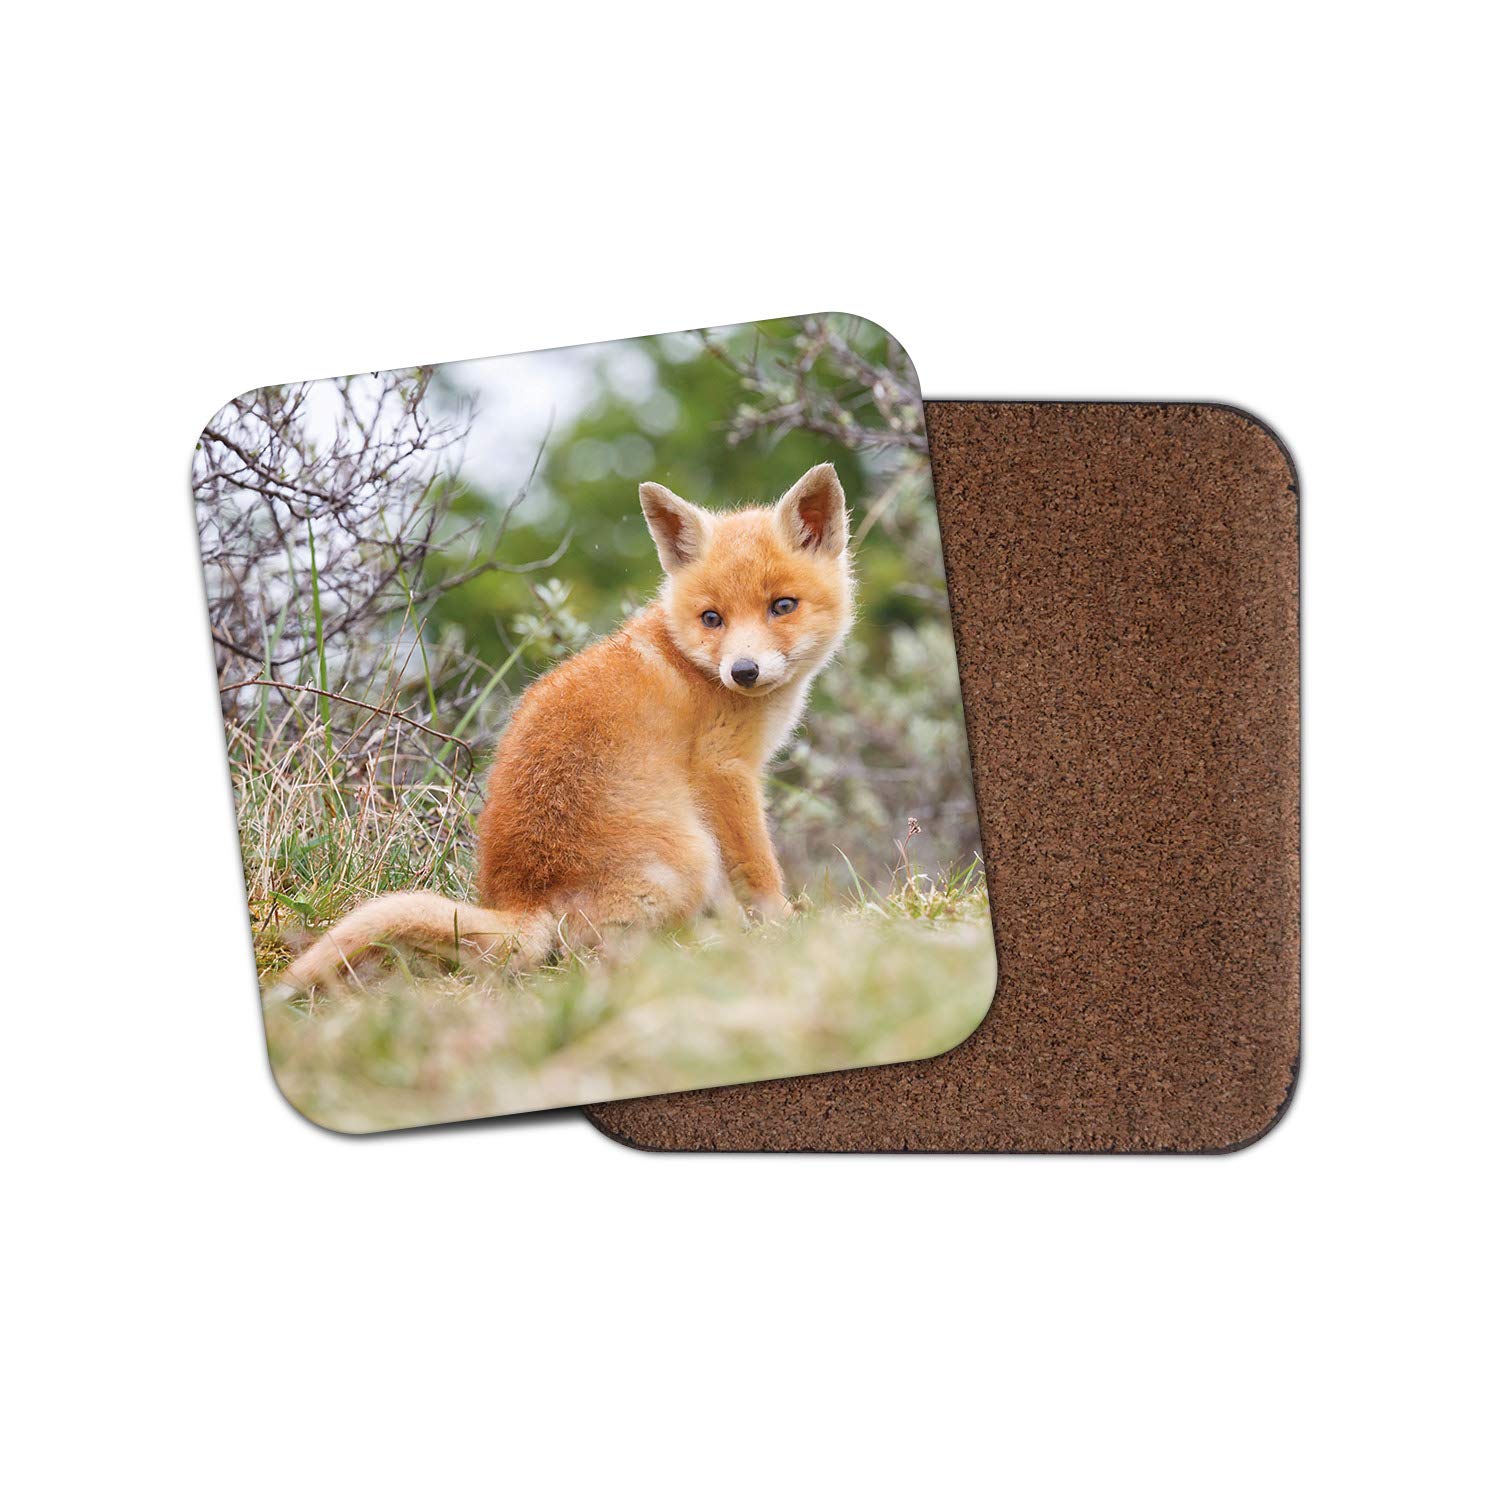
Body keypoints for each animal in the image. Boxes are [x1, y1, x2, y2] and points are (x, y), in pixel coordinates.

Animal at [277, 460, 855, 993]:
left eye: (782, 606)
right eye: (712, 618)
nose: (743, 671)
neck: (692, 662)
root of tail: (525, 897)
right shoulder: (725, 770)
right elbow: (759, 869)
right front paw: (784, 928)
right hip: (691, 854)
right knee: (613, 953)